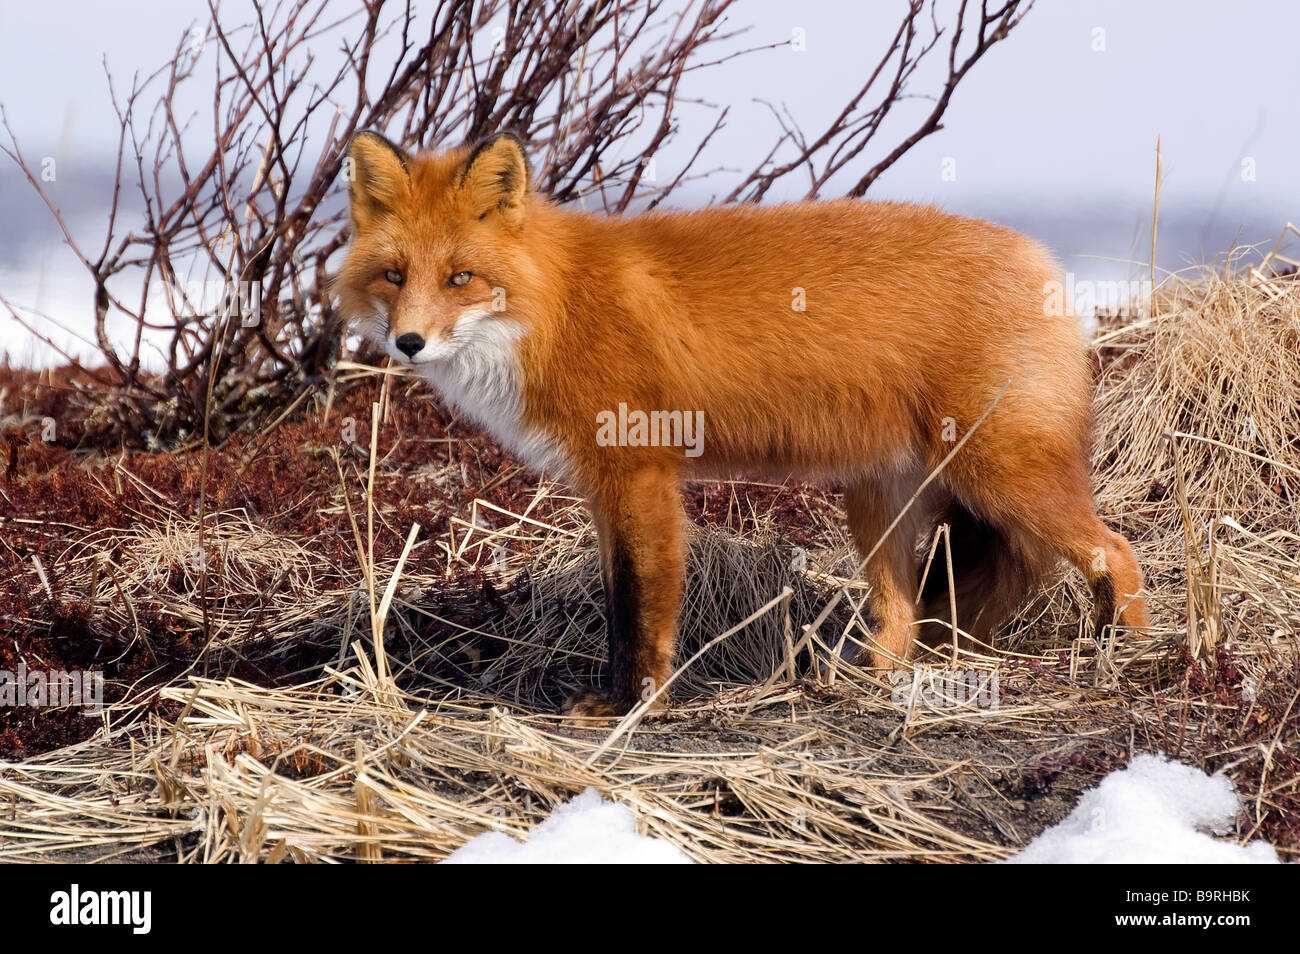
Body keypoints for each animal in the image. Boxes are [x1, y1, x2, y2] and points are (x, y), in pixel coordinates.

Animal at [335, 130, 1149, 717]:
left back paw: (1133, 656)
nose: (408, 343)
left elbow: (641, 604)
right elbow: (619, 600)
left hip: (997, 472)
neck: (556, 308)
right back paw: (862, 680)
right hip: (880, 503)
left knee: (1115, 551)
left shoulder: (641, 474)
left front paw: (635, 706)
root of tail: (1040, 258)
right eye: (395, 276)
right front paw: (622, 699)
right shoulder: (606, 488)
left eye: (460, 277)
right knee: (905, 614)